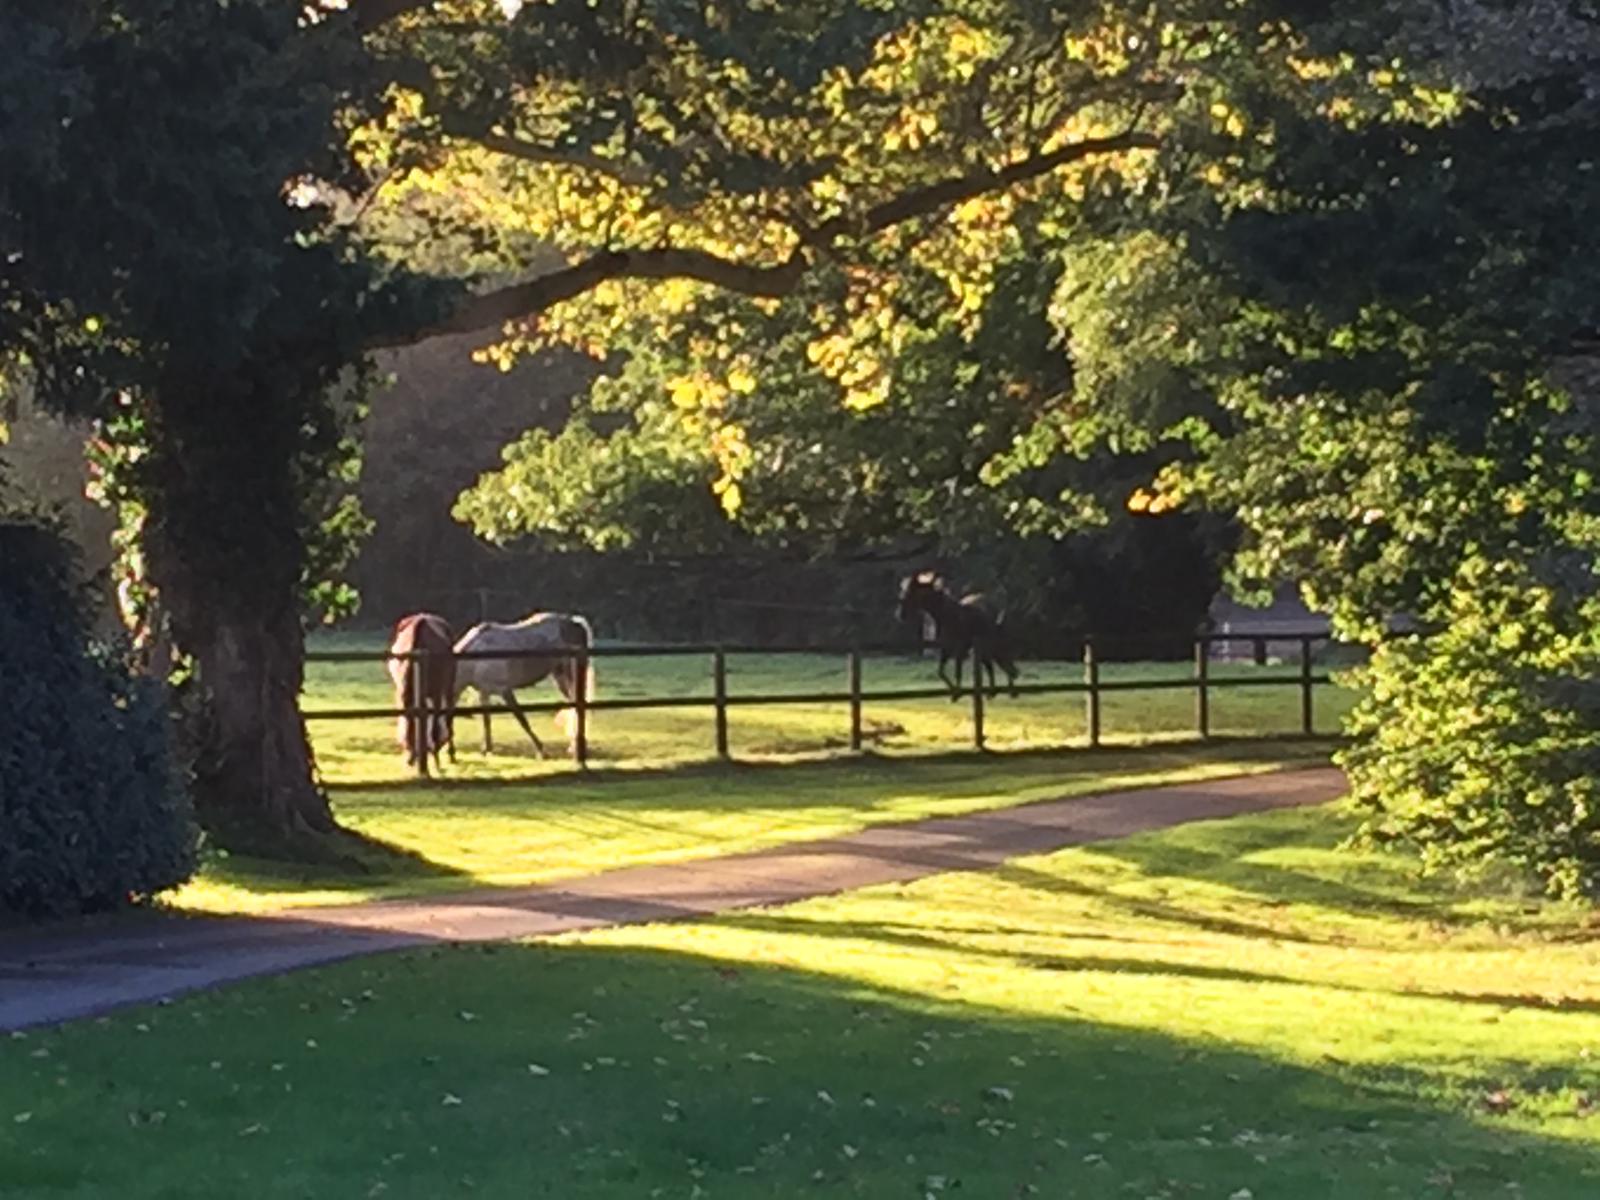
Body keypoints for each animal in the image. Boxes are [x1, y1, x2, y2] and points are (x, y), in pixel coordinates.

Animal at [454, 611, 598, 761]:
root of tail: (573, 622)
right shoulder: (484, 693)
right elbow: (486, 721)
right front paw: (486, 749)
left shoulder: (504, 691)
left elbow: (521, 719)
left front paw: (541, 750)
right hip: (561, 677)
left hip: (571, 676)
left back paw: (577, 746)